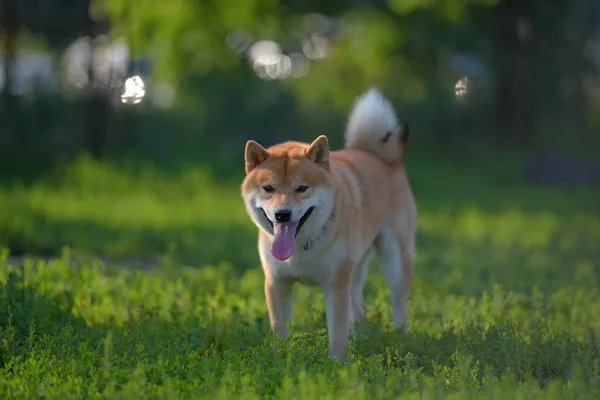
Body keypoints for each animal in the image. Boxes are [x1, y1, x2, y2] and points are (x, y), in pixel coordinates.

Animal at [241, 88, 414, 362]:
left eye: (302, 188)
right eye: (268, 188)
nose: (282, 214)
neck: (302, 246)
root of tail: (379, 155)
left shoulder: (336, 284)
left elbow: (337, 332)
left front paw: (336, 365)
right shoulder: (277, 283)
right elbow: (279, 329)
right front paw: (280, 359)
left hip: (394, 257)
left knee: (398, 303)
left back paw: (399, 338)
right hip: (356, 266)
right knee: (359, 308)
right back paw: (360, 340)